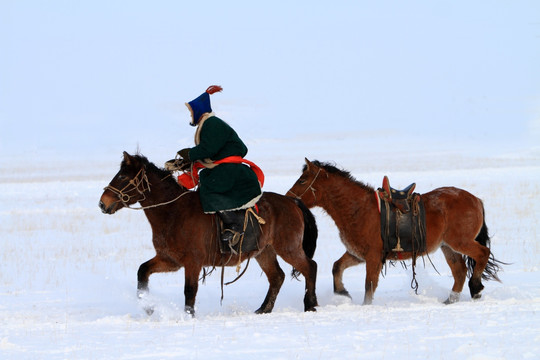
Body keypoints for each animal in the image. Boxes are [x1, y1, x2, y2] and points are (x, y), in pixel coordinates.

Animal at [99, 152, 318, 316]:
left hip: (288, 248)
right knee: (277, 277)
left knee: (310, 267)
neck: (173, 212)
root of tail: (292, 202)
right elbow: (142, 271)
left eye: (122, 177)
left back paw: (310, 304)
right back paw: (263, 309)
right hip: (264, 252)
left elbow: (189, 291)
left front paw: (188, 316)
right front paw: (148, 307)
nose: (103, 203)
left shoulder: (193, 262)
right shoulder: (170, 260)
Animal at [286, 159, 502, 306]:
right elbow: (337, 267)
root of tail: (475, 199)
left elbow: (369, 287)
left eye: (303, 180)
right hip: (447, 247)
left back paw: (476, 287)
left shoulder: (373, 257)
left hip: (460, 242)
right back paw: (451, 300)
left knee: (482, 254)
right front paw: (342, 293)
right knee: (460, 271)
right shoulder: (358, 254)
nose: (289, 198)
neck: (359, 209)